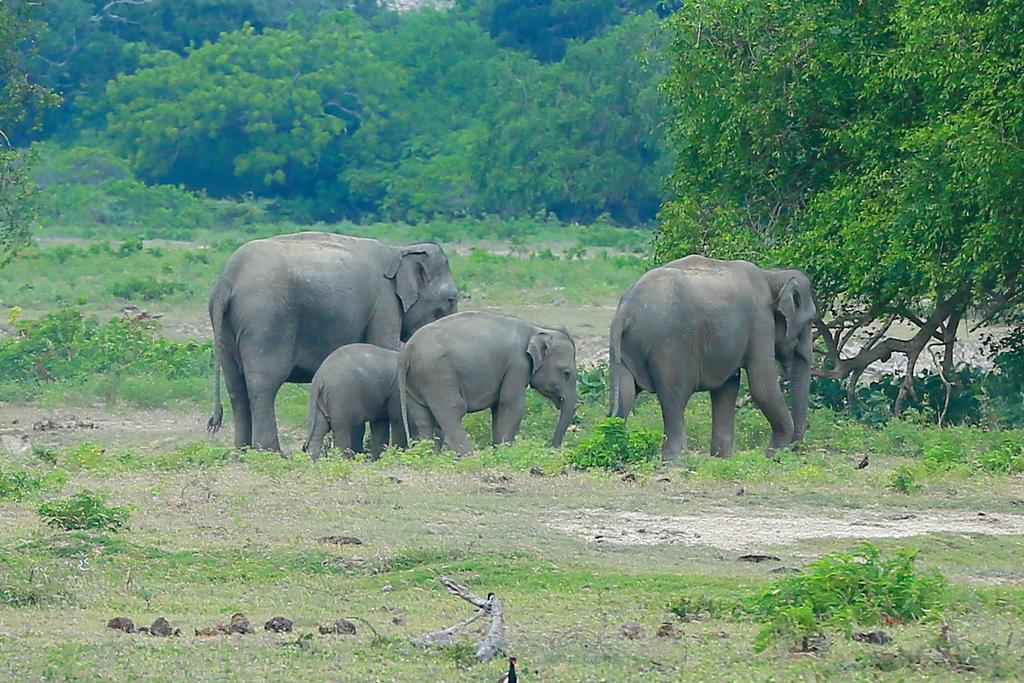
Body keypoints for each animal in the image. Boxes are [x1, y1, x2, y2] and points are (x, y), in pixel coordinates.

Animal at [205, 232, 458, 450]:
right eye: (451, 299)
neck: (399, 250)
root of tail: (226, 281)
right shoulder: (384, 304)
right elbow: (384, 346)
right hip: (265, 321)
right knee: (262, 385)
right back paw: (272, 452)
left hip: (227, 331)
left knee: (236, 388)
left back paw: (241, 452)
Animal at [397, 311, 577, 454]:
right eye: (566, 373)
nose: (553, 448)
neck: (536, 329)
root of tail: (406, 352)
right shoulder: (517, 365)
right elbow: (511, 404)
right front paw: (505, 452)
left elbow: (497, 408)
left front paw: (498, 450)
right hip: (438, 376)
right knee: (453, 411)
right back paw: (469, 455)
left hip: (414, 383)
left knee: (423, 417)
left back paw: (429, 455)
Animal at [606, 253, 815, 462]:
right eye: (811, 320)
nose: (795, 450)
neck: (773, 275)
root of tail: (625, 311)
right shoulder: (761, 321)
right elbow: (762, 386)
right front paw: (773, 455)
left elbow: (728, 387)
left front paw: (722, 459)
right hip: (670, 345)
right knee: (674, 397)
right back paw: (676, 462)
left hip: (627, 347)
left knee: (626, 393)